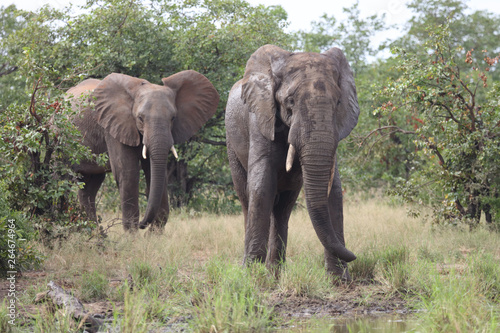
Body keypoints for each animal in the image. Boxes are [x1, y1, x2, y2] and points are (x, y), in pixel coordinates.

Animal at [66, 70, 219, 231]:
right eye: (140, 118)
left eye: (173, 118)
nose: (142, 225)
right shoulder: (112, 126)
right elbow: (127, 172)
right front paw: (132, 236)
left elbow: (155, 173)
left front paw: (153, 234)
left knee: (89, 187)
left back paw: (96, 234)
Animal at [226, 44, 360, 278]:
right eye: (290, 102)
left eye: (338, 103)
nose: (354, 256)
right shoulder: (261, 116)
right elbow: (261, 186)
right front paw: (250, 276)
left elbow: (334, 191)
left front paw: (340, 279)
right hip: (231, 143)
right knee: (245, 197)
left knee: (283, 208)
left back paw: (274, 273)